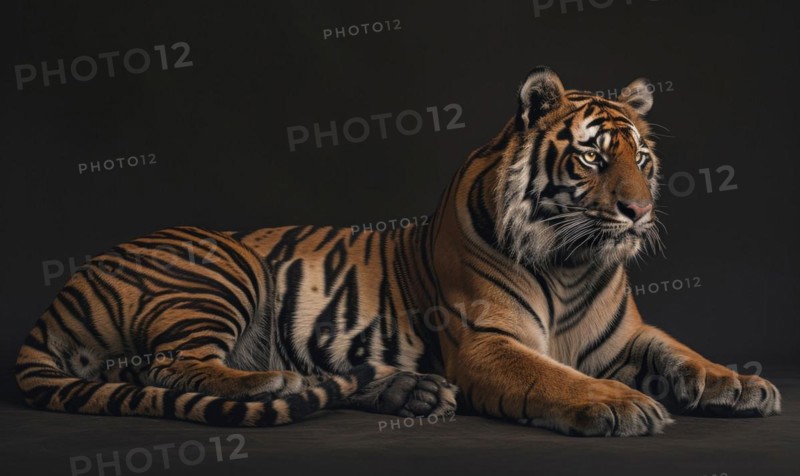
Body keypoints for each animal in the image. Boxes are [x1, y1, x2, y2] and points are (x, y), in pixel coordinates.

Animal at [15, 66, 781, 436]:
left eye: (641, 159)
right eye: (593, 156)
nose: (638, 210)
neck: (572, 263)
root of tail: (57, 300)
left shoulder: (625, 335)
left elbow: (681, 351)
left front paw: (741, 385)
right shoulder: (490, 343)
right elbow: (558, 379)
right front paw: (622, 405)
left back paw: (409, 390)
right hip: (221, 269)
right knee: (173, 368)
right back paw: (276, 383)